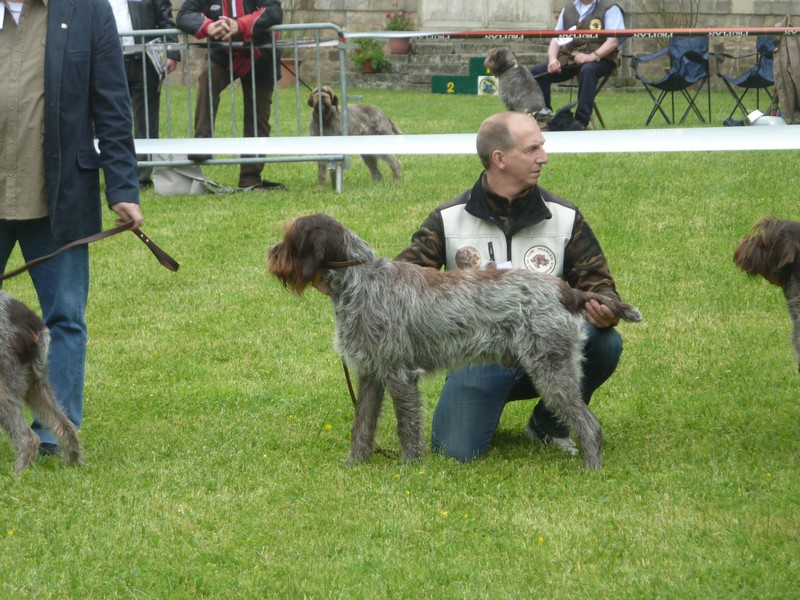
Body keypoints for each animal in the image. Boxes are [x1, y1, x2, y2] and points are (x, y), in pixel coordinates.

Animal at [0, 292, 82, 474]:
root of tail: (31, 321)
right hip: (36, 381)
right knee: (66, 426)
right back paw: (72, 465)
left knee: (29, 439)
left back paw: (19, 474)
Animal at [268, 213, 644, 472]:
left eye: (289, 238)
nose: (270, 254)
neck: (360, 280)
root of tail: (564, 290)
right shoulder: (371, 373)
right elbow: (362, 424)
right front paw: (354, 464)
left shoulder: (400, 375)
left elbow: (407, 426)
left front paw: (411, 468)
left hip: (551, 368)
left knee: (589, 424)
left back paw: (591, 467)